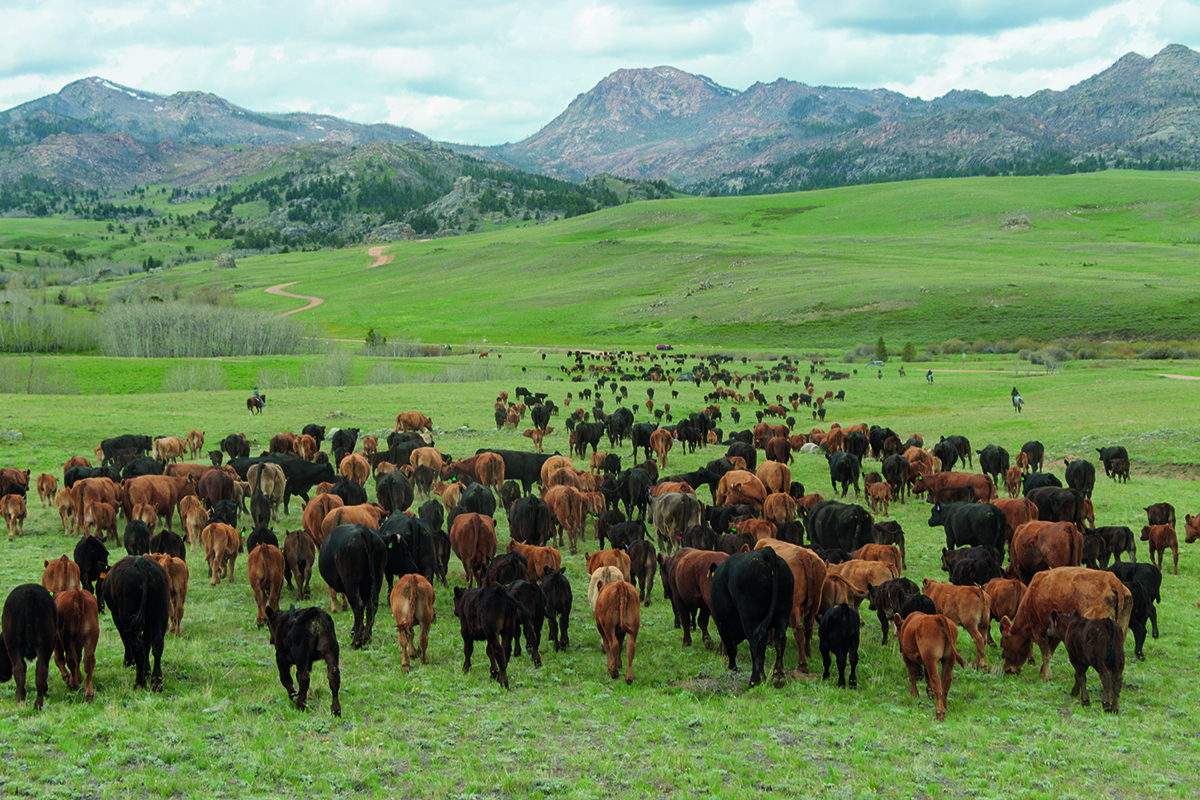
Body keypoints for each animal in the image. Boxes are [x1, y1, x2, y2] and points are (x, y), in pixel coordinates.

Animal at [101, 556, 171, 690]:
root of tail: (141, 561)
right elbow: (146, 642)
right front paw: (146, 669)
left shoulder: (116, 617)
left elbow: (126, 640)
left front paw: (128, 662)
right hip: (161, 613)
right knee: (157, 644)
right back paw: (156, 682)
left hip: (127, 616)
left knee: (135, 646)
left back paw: (139, 683)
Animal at [709, 547, 795, 688]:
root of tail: (766, 551)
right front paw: (764, 677)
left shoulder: (722, 625)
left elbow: (731, 647)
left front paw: (732, 668)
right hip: (783, 611)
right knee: (780, 639)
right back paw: (778, 677)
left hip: (750, 616)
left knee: (754, 643)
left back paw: (754, 680)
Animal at [1000, 566, 1132, 680]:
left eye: (1004, 644)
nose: (1008, 669)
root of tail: (1113, 581)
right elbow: (1051, 651)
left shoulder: (1038, 630)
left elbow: (1046, 653)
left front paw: (1045, 677)